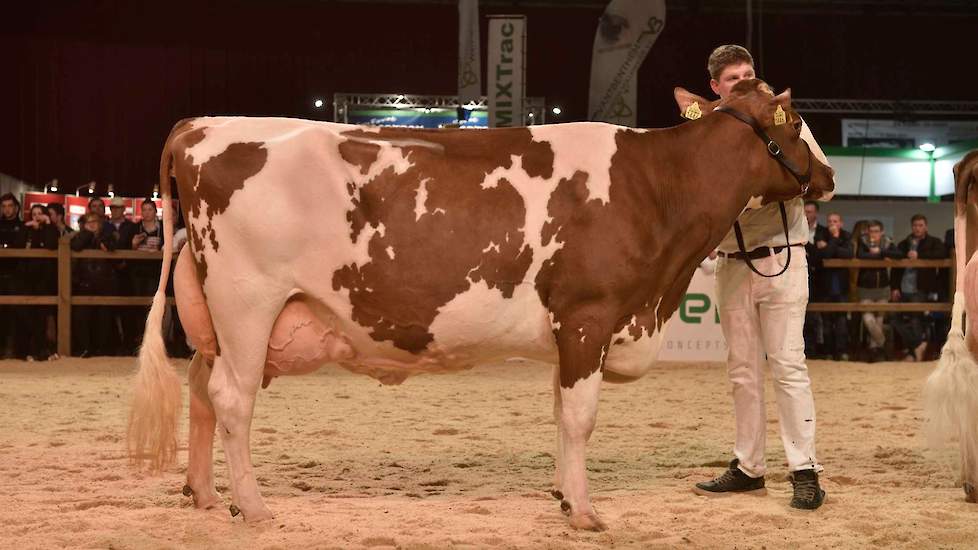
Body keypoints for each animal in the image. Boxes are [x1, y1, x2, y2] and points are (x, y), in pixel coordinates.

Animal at [127, 80, 832, 532]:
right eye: (799, 125)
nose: (826, 178)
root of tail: (203, 124)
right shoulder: (588, 317)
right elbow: (581, 418)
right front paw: (584, 512)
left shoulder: (568, 332)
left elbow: (561, 415)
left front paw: (562, 494)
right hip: (248, 303)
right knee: (231, 398)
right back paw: (253, 506)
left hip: (215, 316)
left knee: (200, 389)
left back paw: (205, 496)